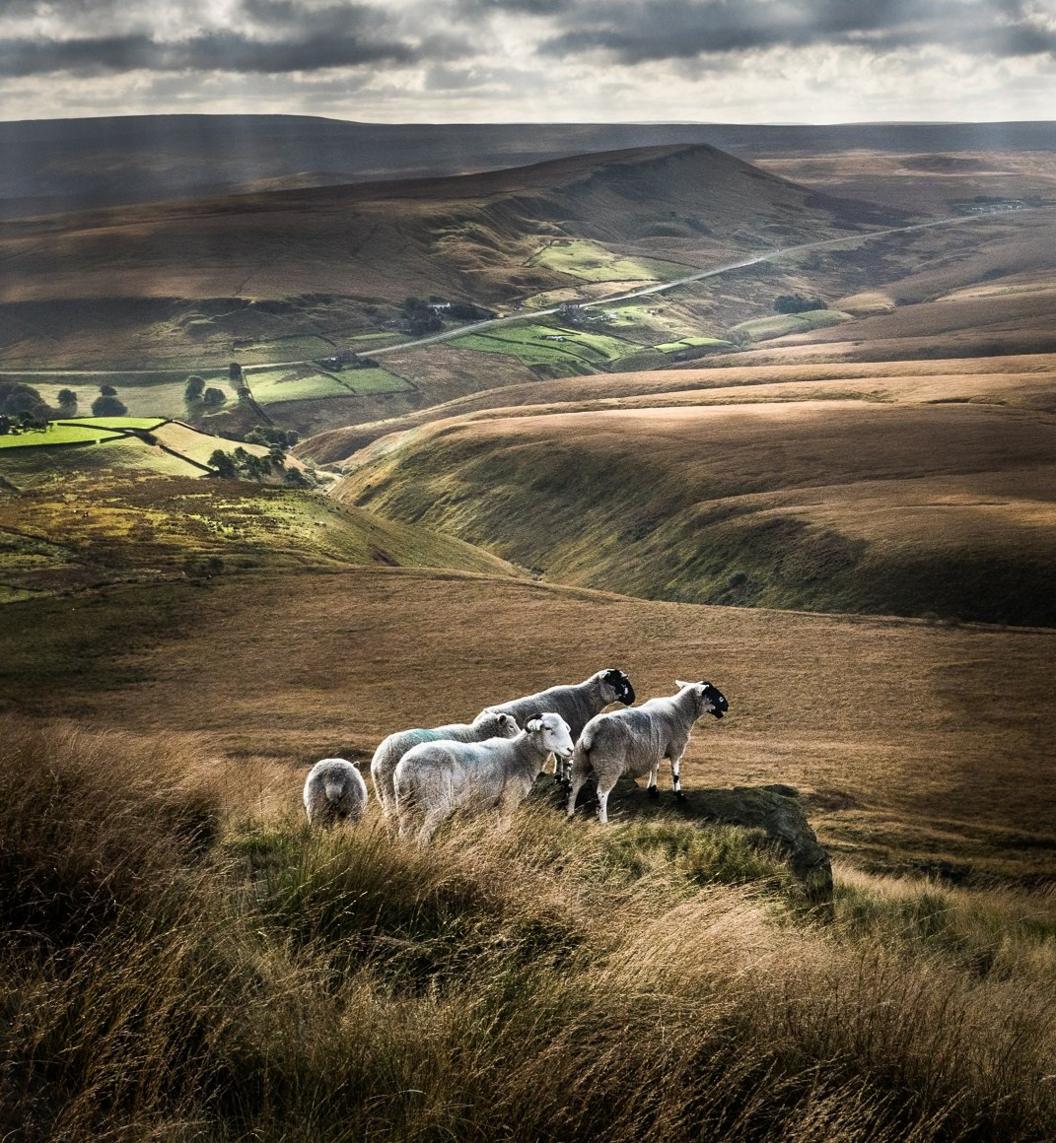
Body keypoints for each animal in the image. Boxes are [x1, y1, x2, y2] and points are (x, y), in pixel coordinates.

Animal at [390, 708, 573, 845]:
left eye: (566, 728)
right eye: (548, 728)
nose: (570, 749)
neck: (520, 753)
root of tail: (408, 765)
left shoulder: (493, 803)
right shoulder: (508, 801)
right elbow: (504, 829)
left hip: (404, 803)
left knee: (404, 832)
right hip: (436, 800)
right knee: (423, 836)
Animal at [486, 667, 635, 786]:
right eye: (617, 681)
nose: (632, 698)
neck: (585, 699)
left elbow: (559, 757)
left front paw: (558, 776)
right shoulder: (572, 736)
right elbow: (566, 759)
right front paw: (567, 780)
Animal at [564, 676, 731, 822]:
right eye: (714, 694)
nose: (727, 705)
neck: (682, 711)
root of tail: (589, 735)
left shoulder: (654, 748)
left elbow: (654, 768)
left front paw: (653, 790)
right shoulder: (676, 748)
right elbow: (675, 774)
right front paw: (679, 795)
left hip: (581, 761)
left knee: (574, 786)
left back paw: (570, 814)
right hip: (609, 764)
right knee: (601, 794)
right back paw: (604, 820)